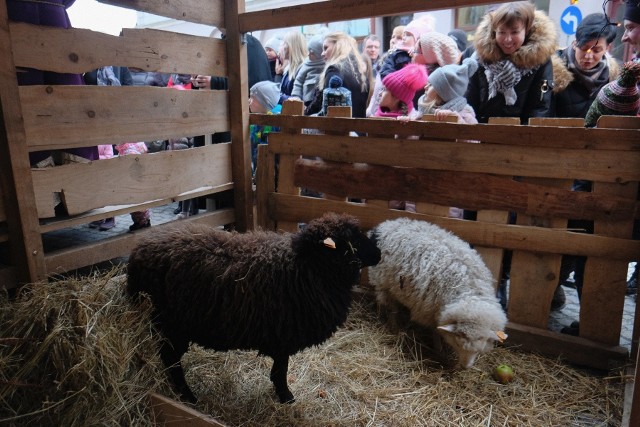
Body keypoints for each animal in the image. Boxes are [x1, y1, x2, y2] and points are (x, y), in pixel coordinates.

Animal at [368, 219, 508, 370]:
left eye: (478, 349)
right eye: (458, 343)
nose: (465, 367)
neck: (470, 293)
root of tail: (383, 226)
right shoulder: (430, 310)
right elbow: (435, 332)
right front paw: (439, 350)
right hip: (382, 281)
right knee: (388, 305)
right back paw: (392, 326)